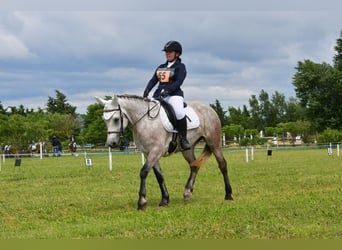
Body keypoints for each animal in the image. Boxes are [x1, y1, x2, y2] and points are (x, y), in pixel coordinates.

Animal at [95, 94, 232, 210]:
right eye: (104, 120)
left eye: (116, 119)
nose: (111, 143)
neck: (145, 121)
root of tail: (209, 109)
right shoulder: (148, 153)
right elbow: (159, 176)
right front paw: (165, 200)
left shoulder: (156, 151)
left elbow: (143, 172)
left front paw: (142, 202)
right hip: (187, 149)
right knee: (194, 166)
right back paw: (187, 192)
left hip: (214, 142)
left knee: (222, 164)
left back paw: (228, 194)